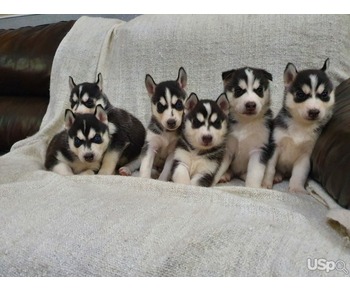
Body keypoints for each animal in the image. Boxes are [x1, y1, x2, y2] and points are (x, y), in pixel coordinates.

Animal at [262, 58, 334, 193]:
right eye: (300, 94)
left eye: (324, 94)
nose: (314, 111)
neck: (301, 125)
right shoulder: (274, 146)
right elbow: (270, 168)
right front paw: (265, 184)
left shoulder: (305, 155)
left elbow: (299, 173)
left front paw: (296, 188)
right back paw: (277, 176)